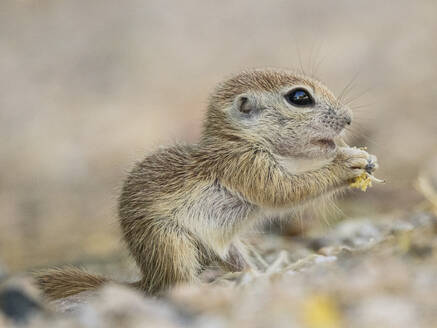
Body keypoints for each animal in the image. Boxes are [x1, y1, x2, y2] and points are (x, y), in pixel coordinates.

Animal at [36, 68, 378, 298]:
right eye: (300, 97)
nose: (349, 118)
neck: (241, 140)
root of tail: (147, 278)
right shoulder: (243, 165)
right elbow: (283, 191)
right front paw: (347, 164)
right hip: (170, 243)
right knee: (175, 286)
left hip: (227, 248)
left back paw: (258, 273)